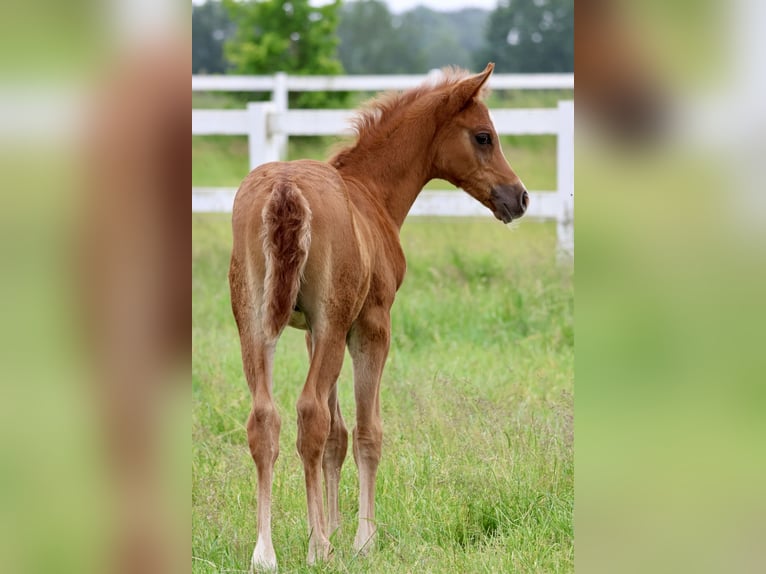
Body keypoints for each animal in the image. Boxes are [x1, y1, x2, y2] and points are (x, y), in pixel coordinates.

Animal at [228, 63, 528, 572]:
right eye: (484, 136)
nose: (520, 198)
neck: (370, 193)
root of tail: (285, 189)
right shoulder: (369, 325)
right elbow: (368, 432)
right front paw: (360, 540)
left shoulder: (312, 332)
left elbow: (337, 437)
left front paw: (332, 525)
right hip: (329, 326)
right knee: (308, 414)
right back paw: (318, 549)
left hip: (254, 323)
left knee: (265, 419)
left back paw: (265, 553)